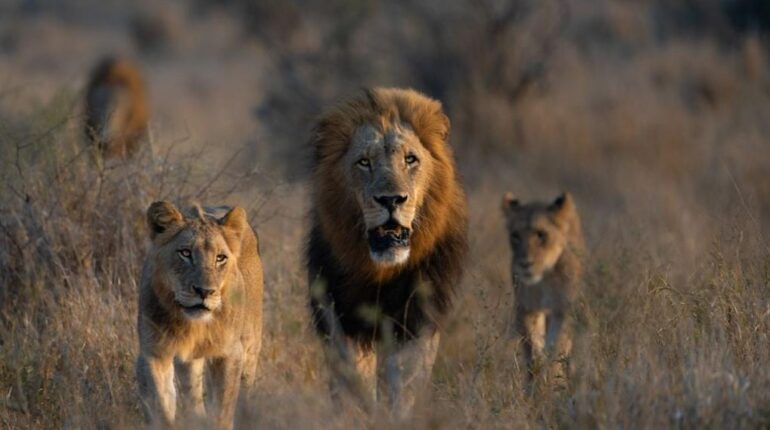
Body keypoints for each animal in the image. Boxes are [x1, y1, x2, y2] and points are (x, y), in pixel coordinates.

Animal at [136, 202, 263, 430]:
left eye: (220, 258)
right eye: (185, 253)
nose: (205, 291)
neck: (191, 325)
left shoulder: (230, 353)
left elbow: (222, 411)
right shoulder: (154, 353)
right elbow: (161, 406)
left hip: (251, 344)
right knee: (192, 397)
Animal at [306, 87, 468, 417]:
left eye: (410, 159)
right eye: (364, 162)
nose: (391, 200)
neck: (379, 269)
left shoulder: (415, 318)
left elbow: (404, 381)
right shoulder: (340, 317)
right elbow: (352, 379)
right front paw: (355, 415)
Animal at [501, 192, 585, 389]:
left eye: (541, 235)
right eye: (515, 236)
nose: (525, 263)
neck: (544, 279)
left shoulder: (563, 309)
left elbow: (557, 346)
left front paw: (554, 380)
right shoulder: (526, 308)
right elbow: (533, 350)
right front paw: (535, 384)